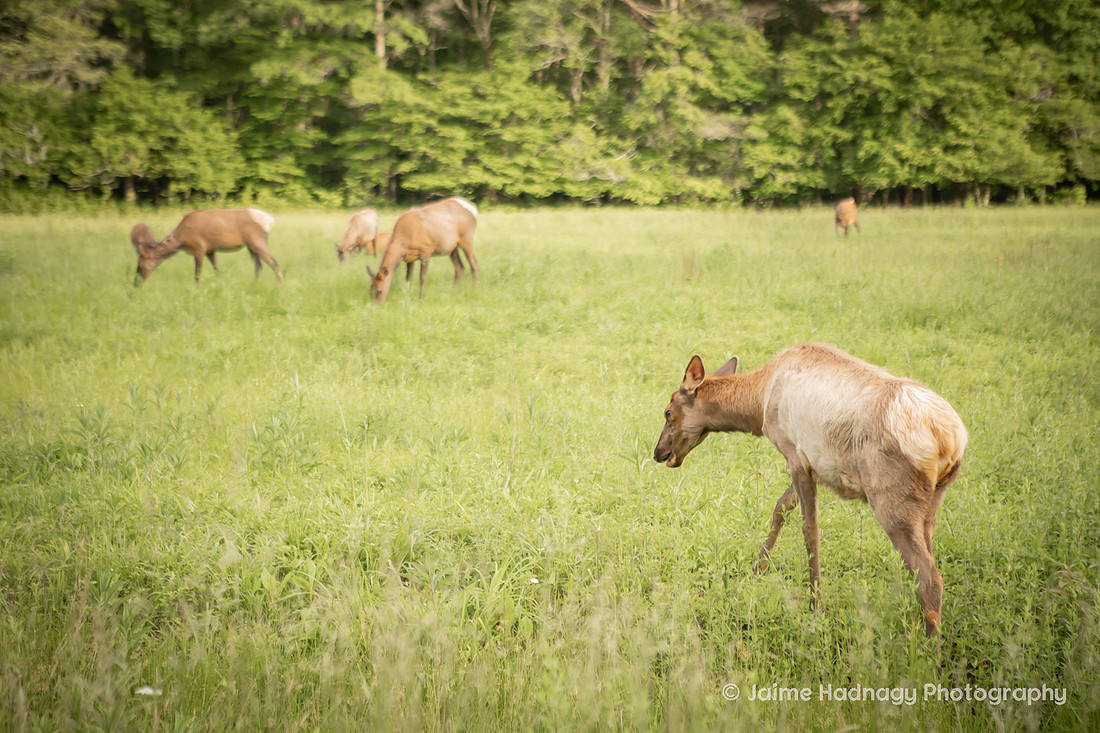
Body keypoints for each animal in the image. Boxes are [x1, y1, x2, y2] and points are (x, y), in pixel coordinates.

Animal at [131, 208, 283, 285]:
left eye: (140, 264)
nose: (135, 282)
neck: (181, 239)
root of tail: (270, 220)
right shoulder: (210, 250)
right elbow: (217, 269)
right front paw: (223, 284)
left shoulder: (199, 248)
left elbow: (197, 274)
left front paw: (196, 289)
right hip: (250, 246)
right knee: (259, 265)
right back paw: (254, 284)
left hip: (257, 241)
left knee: (274, 262)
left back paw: (281, 285)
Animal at [653, 342, 967, 638]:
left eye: (668, 412)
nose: (659, 452)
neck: (760, 402)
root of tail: (949, 439)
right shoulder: (809, 464)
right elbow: (781, 508)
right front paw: (756, 571)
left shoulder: (794, 453)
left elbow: (809, 531)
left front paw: (816, 607)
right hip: (933, 500)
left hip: (892, 499)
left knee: (930, 578)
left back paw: (929, 650)